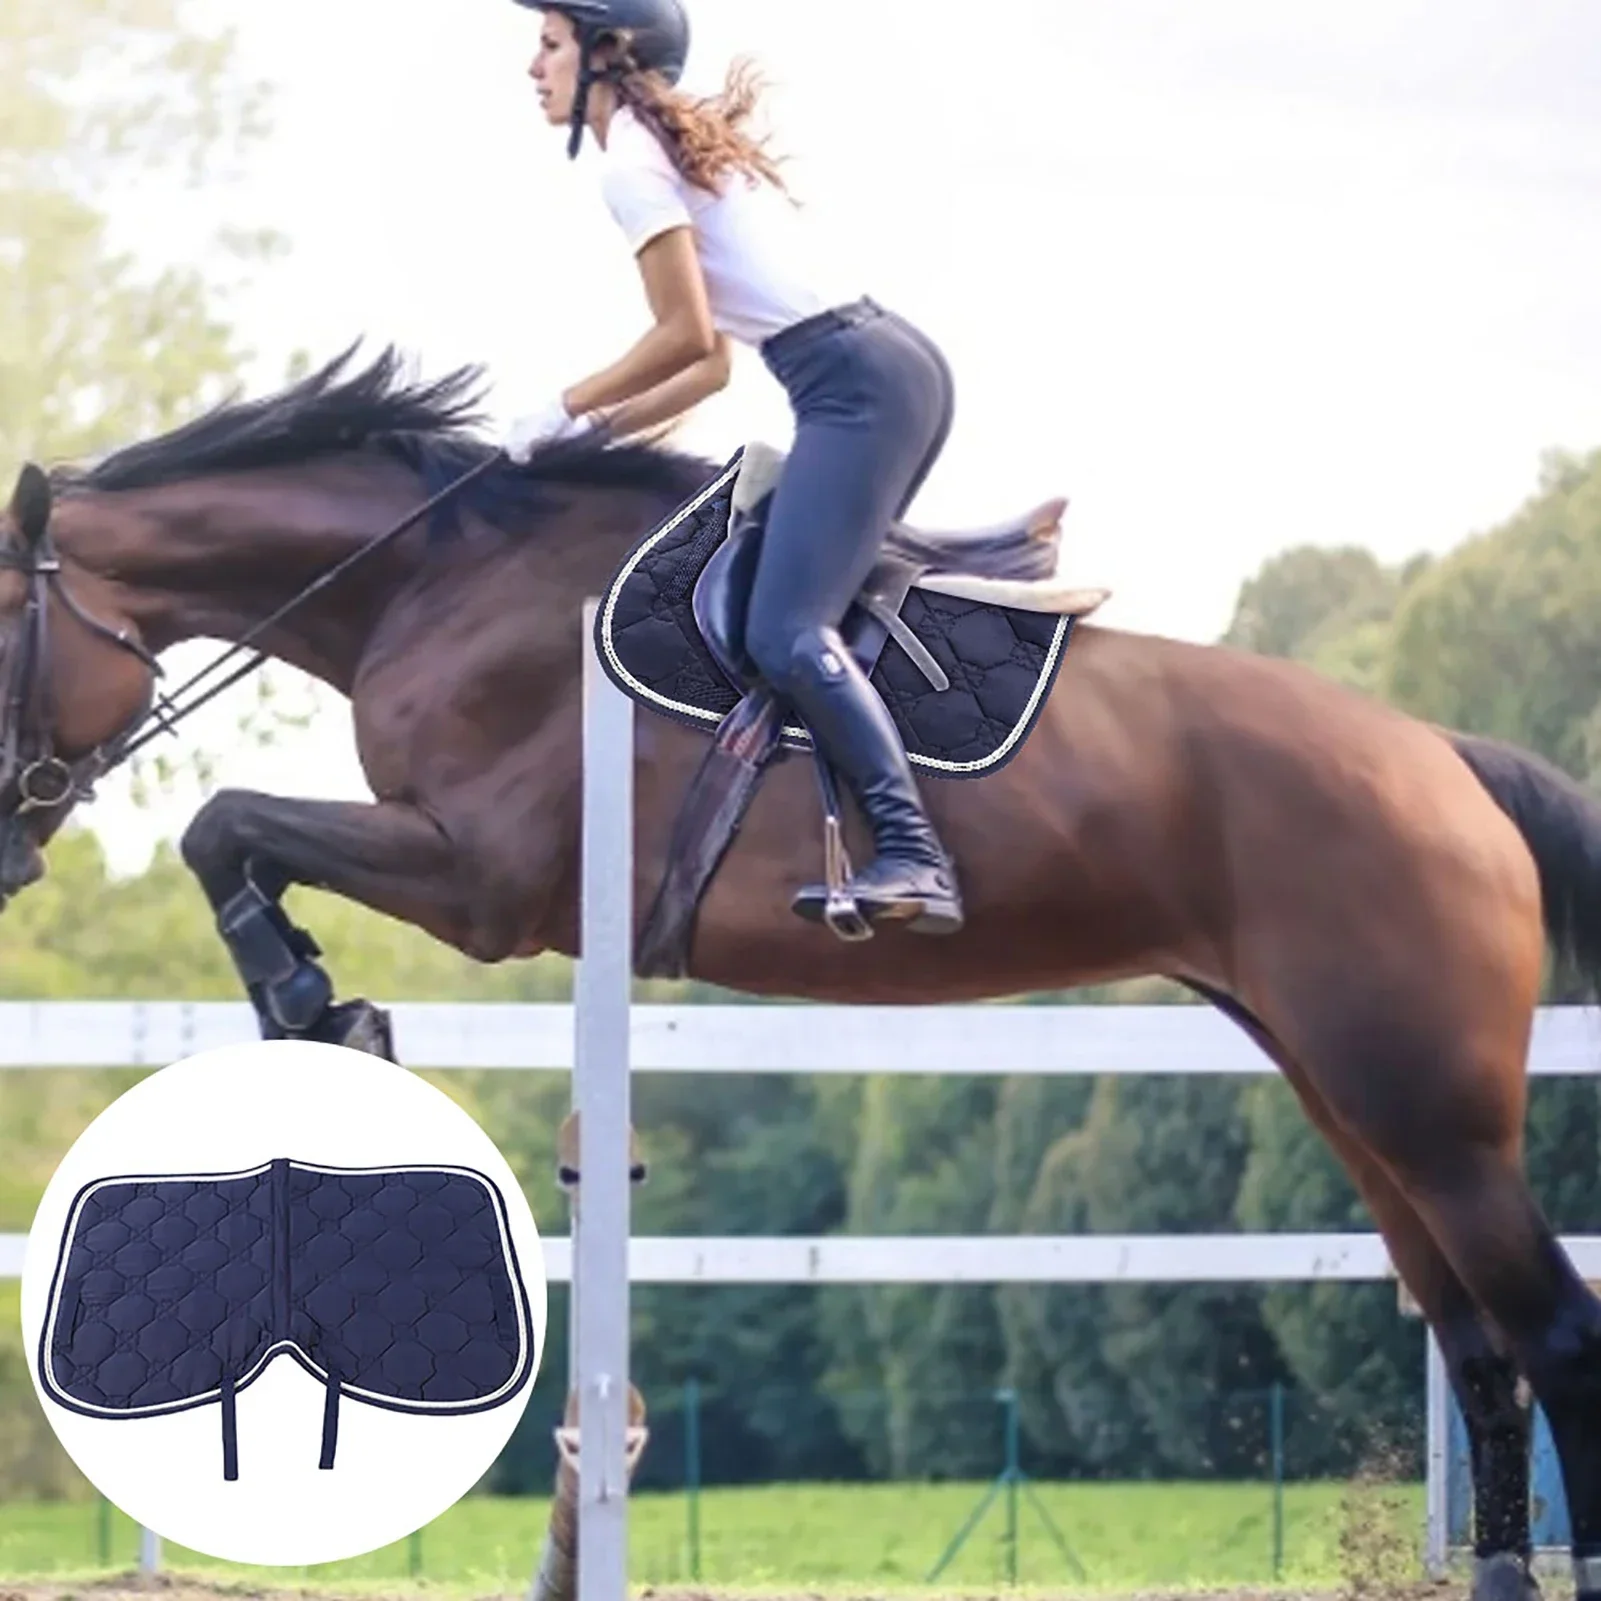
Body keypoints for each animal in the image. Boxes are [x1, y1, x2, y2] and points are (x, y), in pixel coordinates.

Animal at [4, 345, 1599, 1601]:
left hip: (1426, 1109)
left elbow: (224, 822)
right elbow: (234, 835)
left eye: (4, 628)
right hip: (1354, 1098)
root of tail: (1443, 757)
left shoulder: (480, 879)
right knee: (1474, 1336)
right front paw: (321, 999)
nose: (12, 850)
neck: (428, 580)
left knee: (1551, 1326)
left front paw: (312, 1003)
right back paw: (1499, 1572)